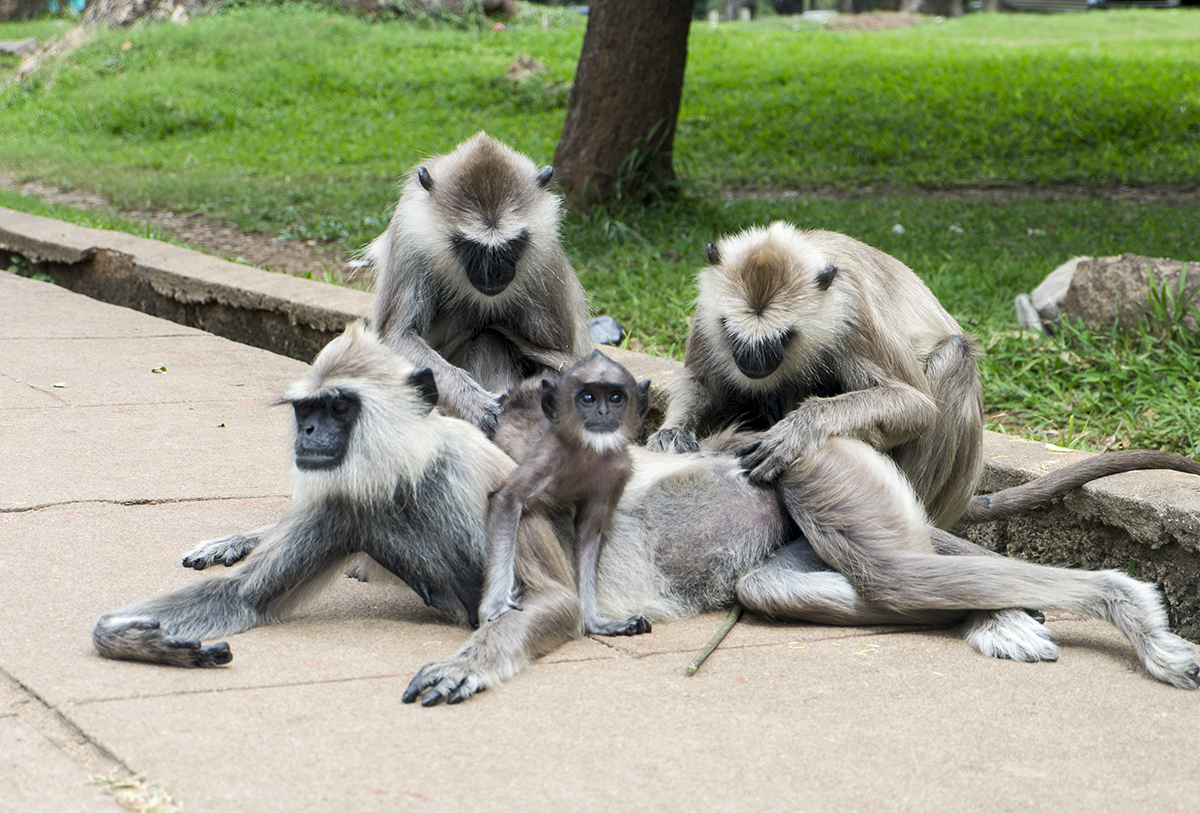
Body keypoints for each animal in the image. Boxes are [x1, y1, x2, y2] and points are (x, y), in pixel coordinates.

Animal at [364, 131, 590, 438]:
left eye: (510, 246)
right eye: (471, 248)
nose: (494, 273)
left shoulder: (544, 256)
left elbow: (564, 361)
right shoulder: (408, 231)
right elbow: (396, 336)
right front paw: (476, 406)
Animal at [477, 350, 652, 637]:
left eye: (616, 398)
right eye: (588, 398)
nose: (603, 412)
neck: (591, 452)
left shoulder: (616, 474)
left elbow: (588, 532)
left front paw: (596, 622)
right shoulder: (551, 453)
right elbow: (507, 500)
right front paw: (496, 604)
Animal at [652, 221, 1200, 527]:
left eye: (780, 339)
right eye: (735, 333)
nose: (753, 362)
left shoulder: (852, 313)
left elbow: (916, 407)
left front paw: (800, 430)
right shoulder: (707, 314)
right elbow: (701, 381)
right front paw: (671, 433)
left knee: (953, 355)